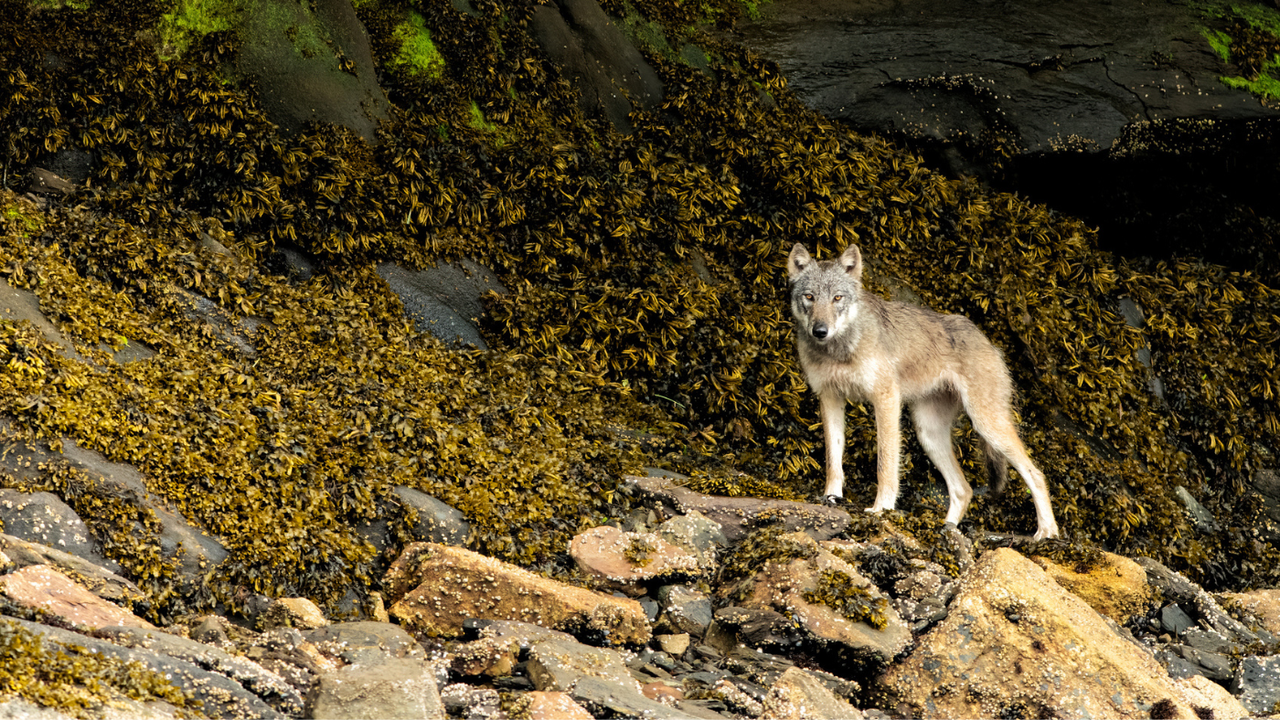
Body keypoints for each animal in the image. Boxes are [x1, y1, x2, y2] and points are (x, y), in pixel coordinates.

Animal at [788, 242, 1059, 538]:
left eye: (837, 298)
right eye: (810, 297)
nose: (820, 330)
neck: (838, 350)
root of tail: (988, 342)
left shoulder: (886, 399)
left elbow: (885, 464)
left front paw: (881, 508)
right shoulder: (829, 397)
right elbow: (833, 458)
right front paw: (831, 498)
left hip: (986, 425)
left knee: (1037, 474)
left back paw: (1047, 533)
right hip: (928, 434)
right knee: (963, 489)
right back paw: (947, 530)